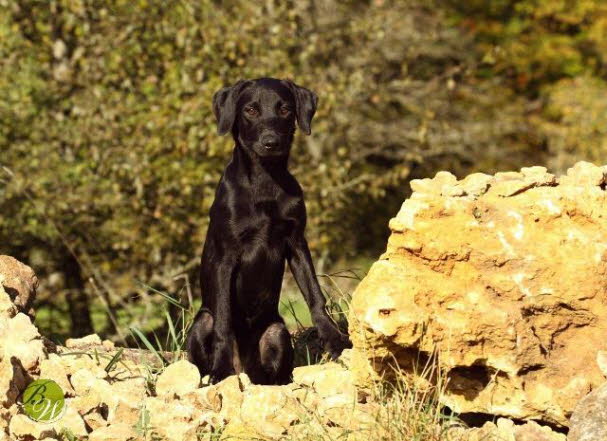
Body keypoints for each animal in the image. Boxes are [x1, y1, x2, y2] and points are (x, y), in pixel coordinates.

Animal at [189, 77, 352, 384]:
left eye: (285, 109)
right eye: (250, 110)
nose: (270, 142)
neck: (265, 183)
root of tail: (245, 368)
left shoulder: (296, 243)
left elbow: (315, 295)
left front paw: (334, 339)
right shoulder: (225, 257)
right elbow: (224, 321)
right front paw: (220, 369)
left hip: (277, 332)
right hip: (202, 322)